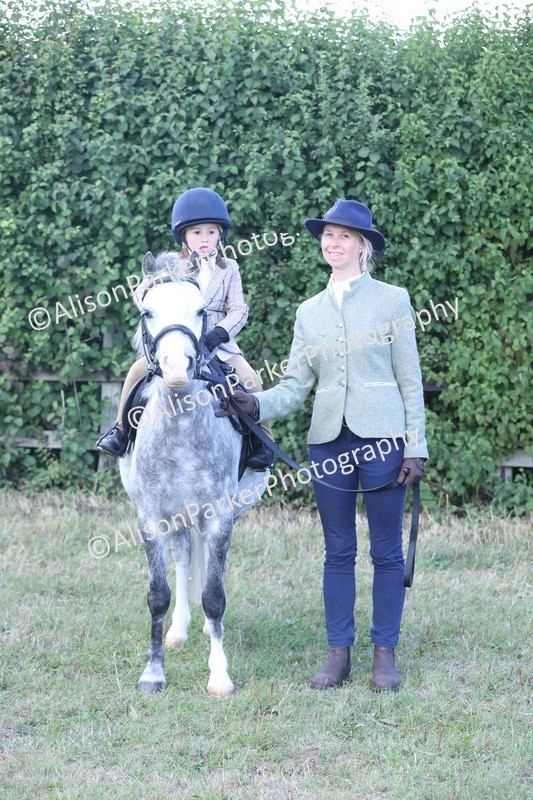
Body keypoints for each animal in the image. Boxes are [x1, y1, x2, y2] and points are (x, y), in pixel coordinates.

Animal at [119, 251, 269, 696]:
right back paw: (180, 630)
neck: (181, 423)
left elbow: (215, 595)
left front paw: (219, 676)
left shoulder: (219, 516)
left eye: (201, 311)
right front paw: (153, 672)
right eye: (147, 311)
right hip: (177, 517)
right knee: (185, 559)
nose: (176, 369)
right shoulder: (151, 517)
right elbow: (158, 594)